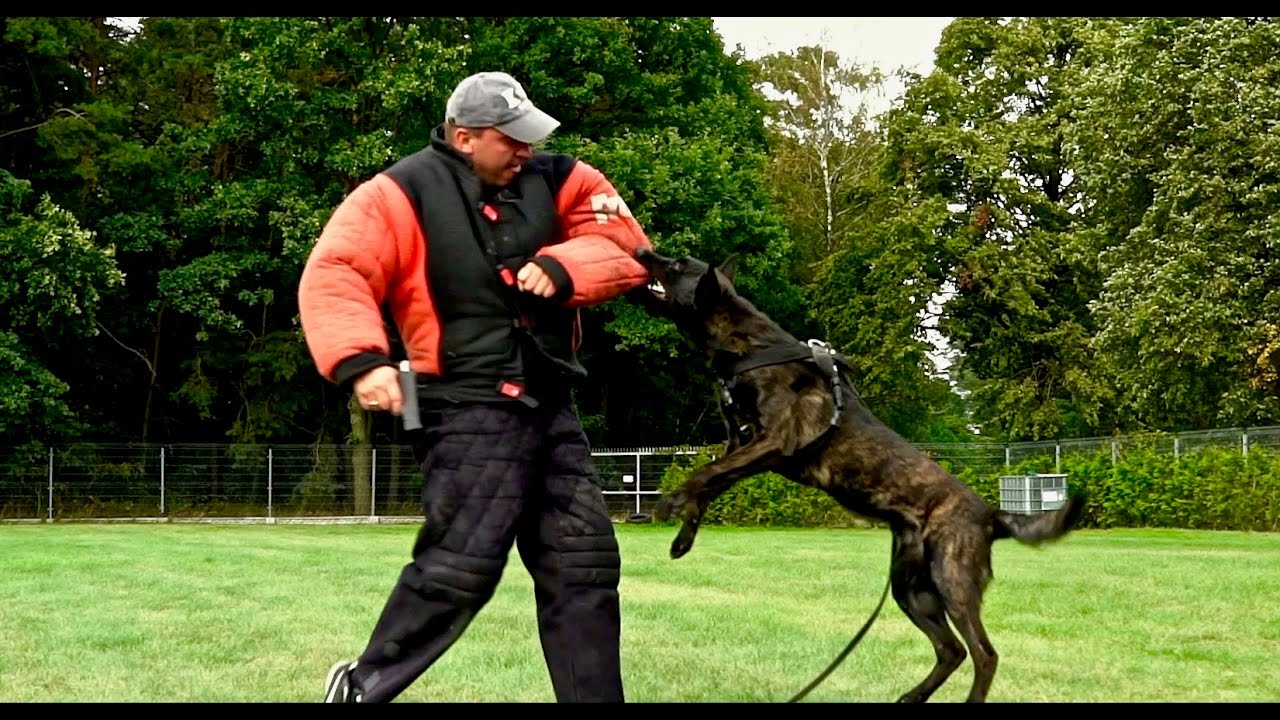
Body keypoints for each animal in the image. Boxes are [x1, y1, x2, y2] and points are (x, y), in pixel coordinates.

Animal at [629, 245, 1080, 702]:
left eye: (677, 264)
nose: (643, 249)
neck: (748, 347)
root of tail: (991, 515)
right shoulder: (741, 445)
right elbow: (710, 485)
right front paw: (683, 539)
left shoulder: (773, 442)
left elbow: (705, 475)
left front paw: (666, 504)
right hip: (910, 589)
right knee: (951, 650)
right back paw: (912, 696)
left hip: (951, 580)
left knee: (984, 654)